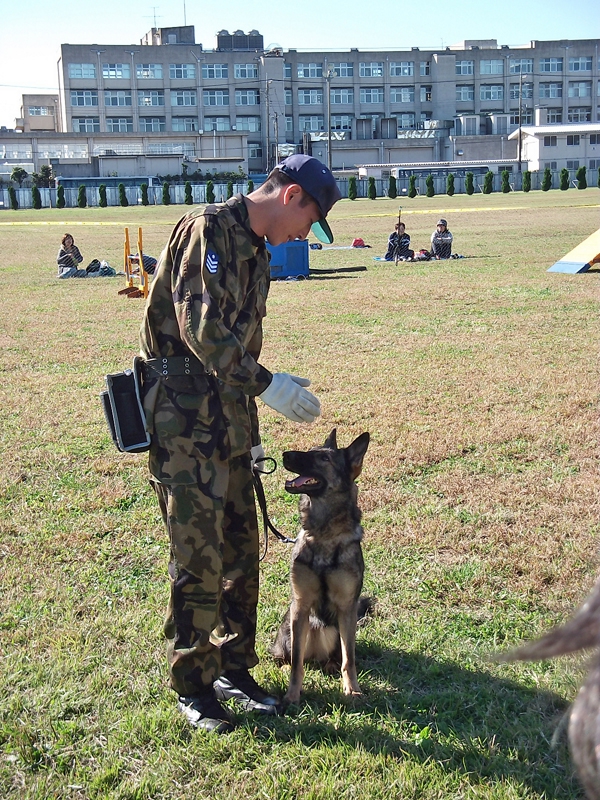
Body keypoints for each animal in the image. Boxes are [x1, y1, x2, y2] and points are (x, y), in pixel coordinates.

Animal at [272, 428, 370, 704]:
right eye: (310, 450)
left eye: (323, 459)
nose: (285, 454)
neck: (324, 535)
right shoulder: (301, 605)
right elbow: (296, 662)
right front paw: (292, 694)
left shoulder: (347, 607)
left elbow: (350, 658)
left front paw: (352, 688)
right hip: (288, 627)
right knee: (289, 656)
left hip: (339, 628)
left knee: (338, 655)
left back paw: (331, 666)